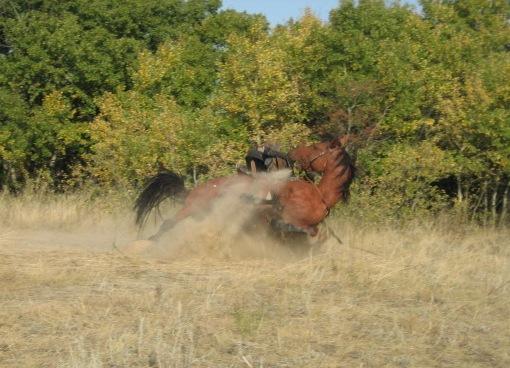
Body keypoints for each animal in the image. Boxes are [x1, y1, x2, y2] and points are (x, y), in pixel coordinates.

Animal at [133, 138, 352, 242]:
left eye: (315, 147)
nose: (293, 153)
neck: (320, 195)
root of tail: (192, 191)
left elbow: (310, 231)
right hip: (191, 208)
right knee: (167, 224)